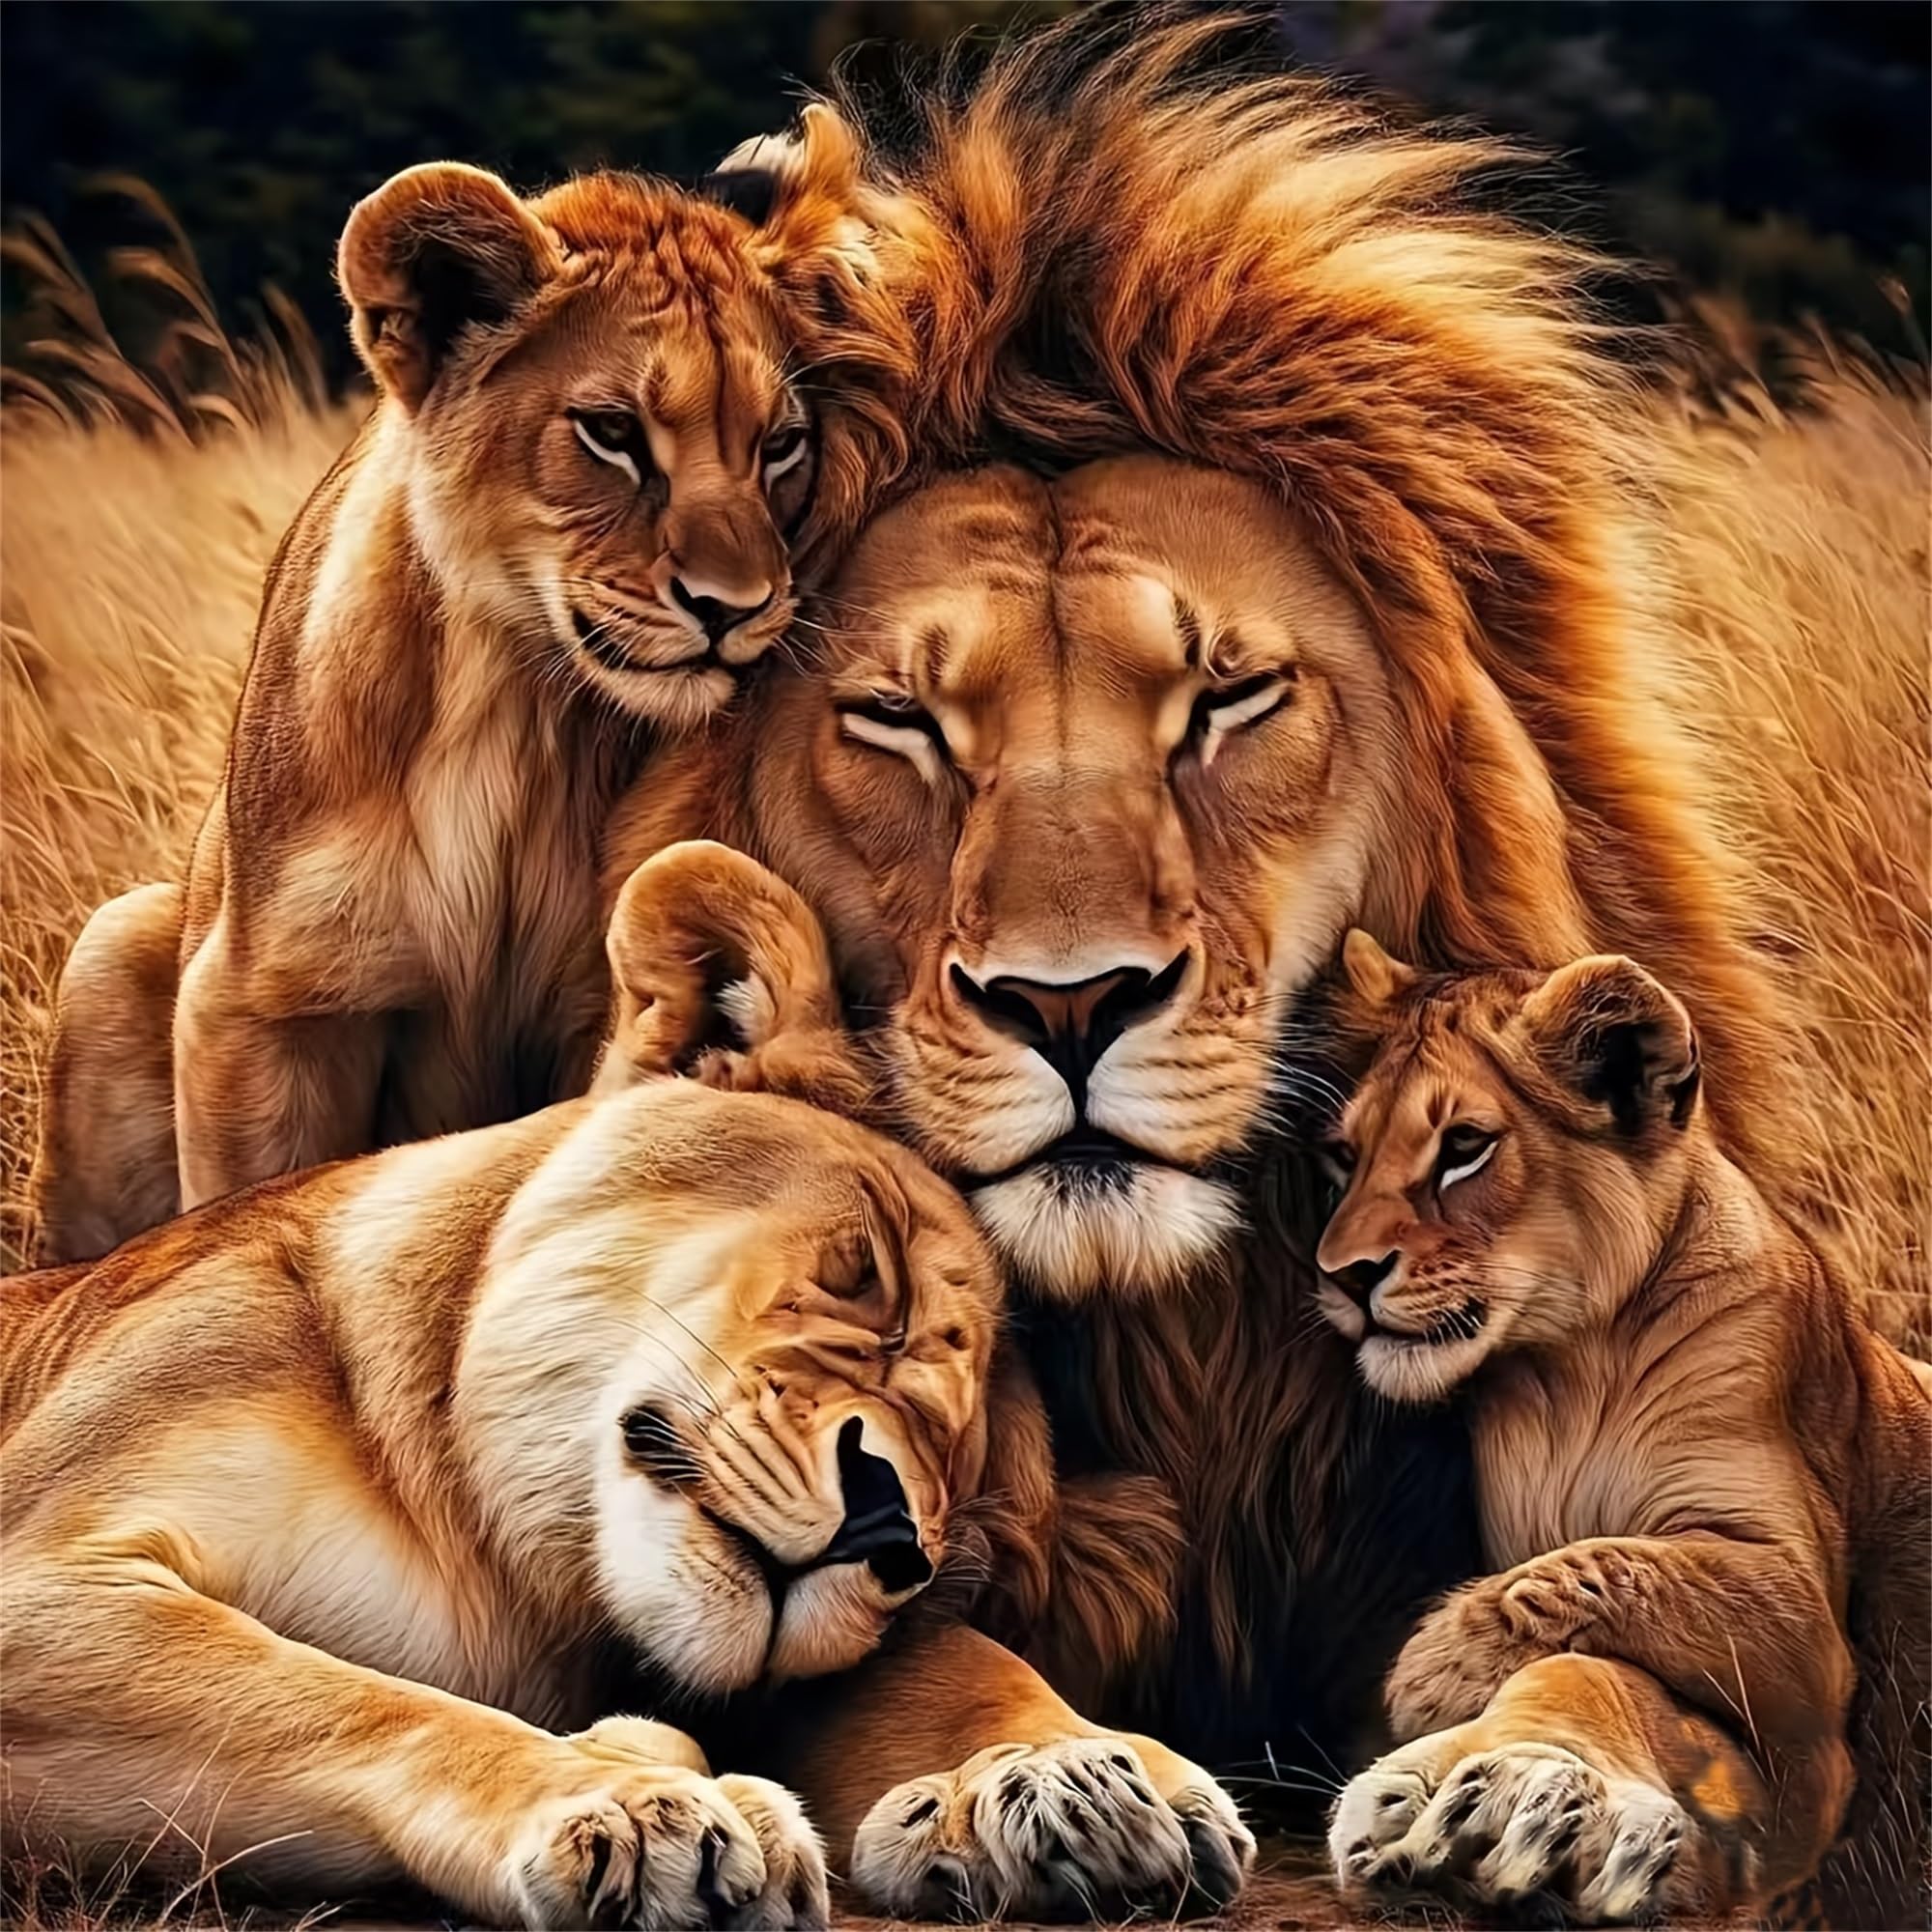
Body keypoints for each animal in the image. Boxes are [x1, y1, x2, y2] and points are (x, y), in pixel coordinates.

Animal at [3, 845, 1250, 1925]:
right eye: (872, 1282)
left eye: (964, 1455)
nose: (889, 1530)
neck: (501, 1563)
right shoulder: (42, 1580)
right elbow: (349, 1702)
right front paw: (631, 1800)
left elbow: (961, 1660)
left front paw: (1071, 1773)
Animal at [29, 137, 900, 1265]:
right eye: (612, 432)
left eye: (781, 444)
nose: (735, 607)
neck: (516, 706)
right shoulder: (262, 1004)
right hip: (114, 938)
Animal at [1312, 933, 1929, 1921]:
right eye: (1342, 1157)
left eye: (1464, 1149)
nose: (1341, 1275)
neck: (1572, 1373)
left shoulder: (1802, 1658)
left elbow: (1604, 1572)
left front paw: (1438, 1674)